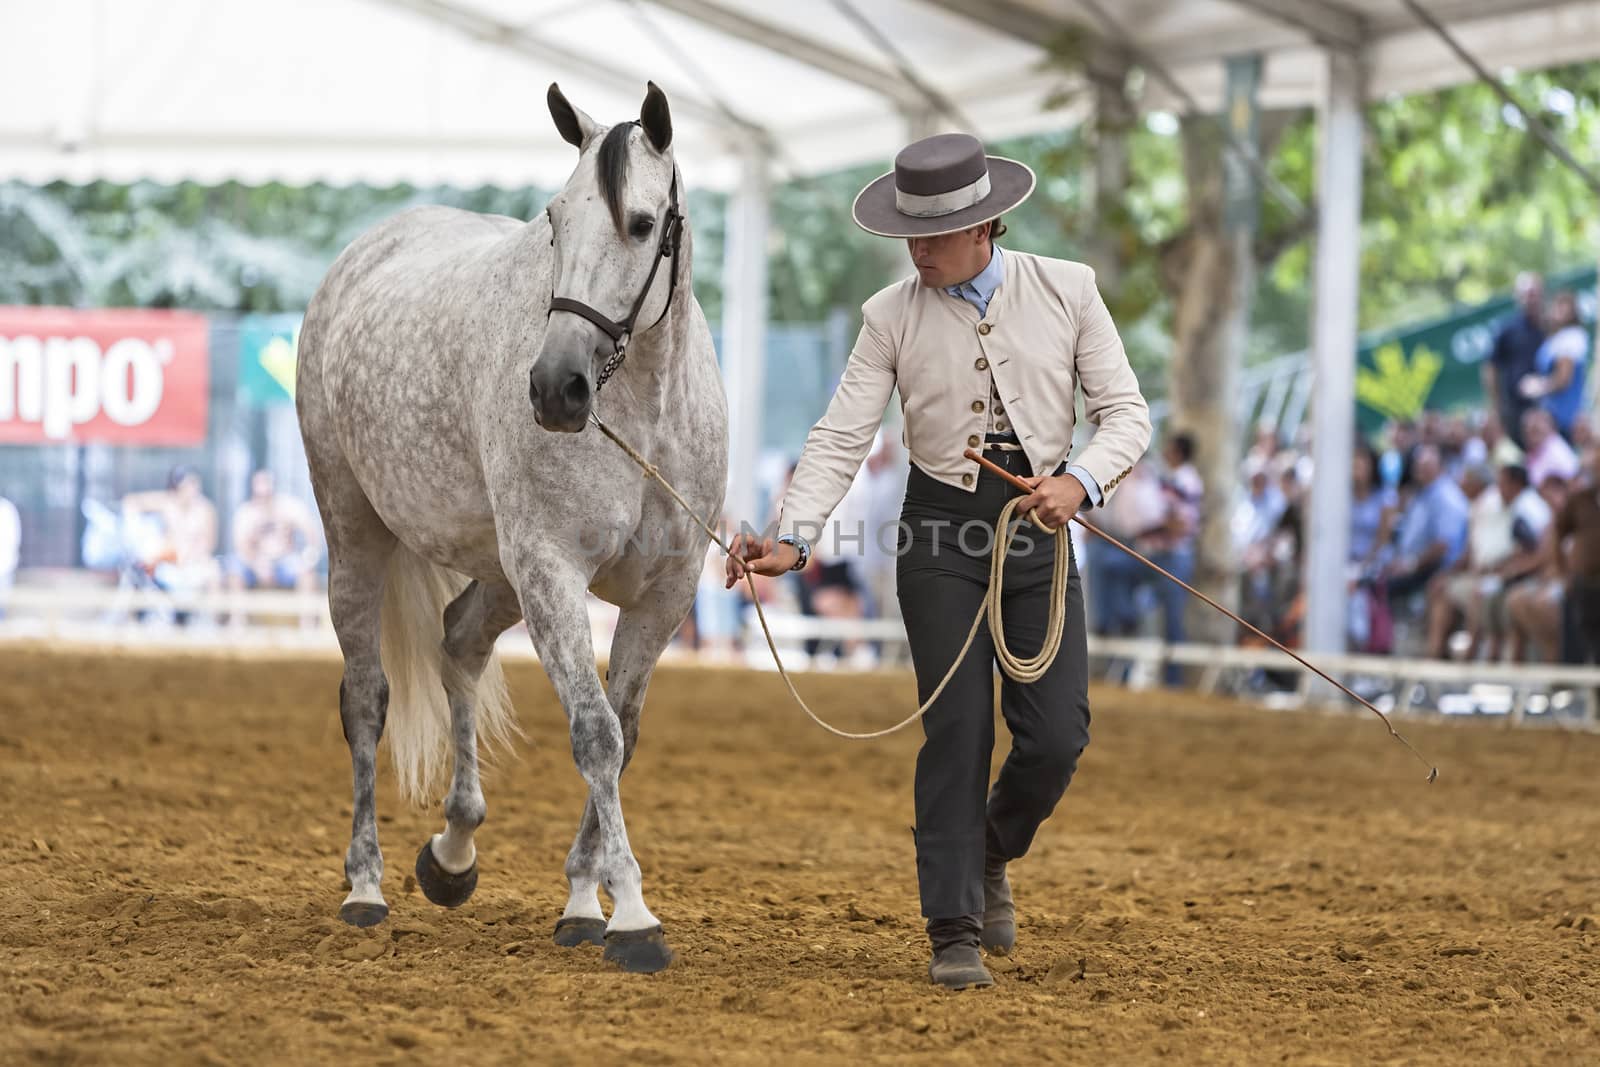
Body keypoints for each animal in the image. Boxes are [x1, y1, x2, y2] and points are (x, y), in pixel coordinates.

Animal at [294, 85, 726, 979]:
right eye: (555, 219)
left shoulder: (664, 593)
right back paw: (366, 884)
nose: (555, 387)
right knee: (367, 699)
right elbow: (595, 734)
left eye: (642, 223)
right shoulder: (552, 569)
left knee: (458, 641)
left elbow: (624, 733)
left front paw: (583, 902)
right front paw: (633, 916)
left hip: (498, 570)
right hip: (358, 534)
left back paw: (452, 854)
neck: (642, 412)